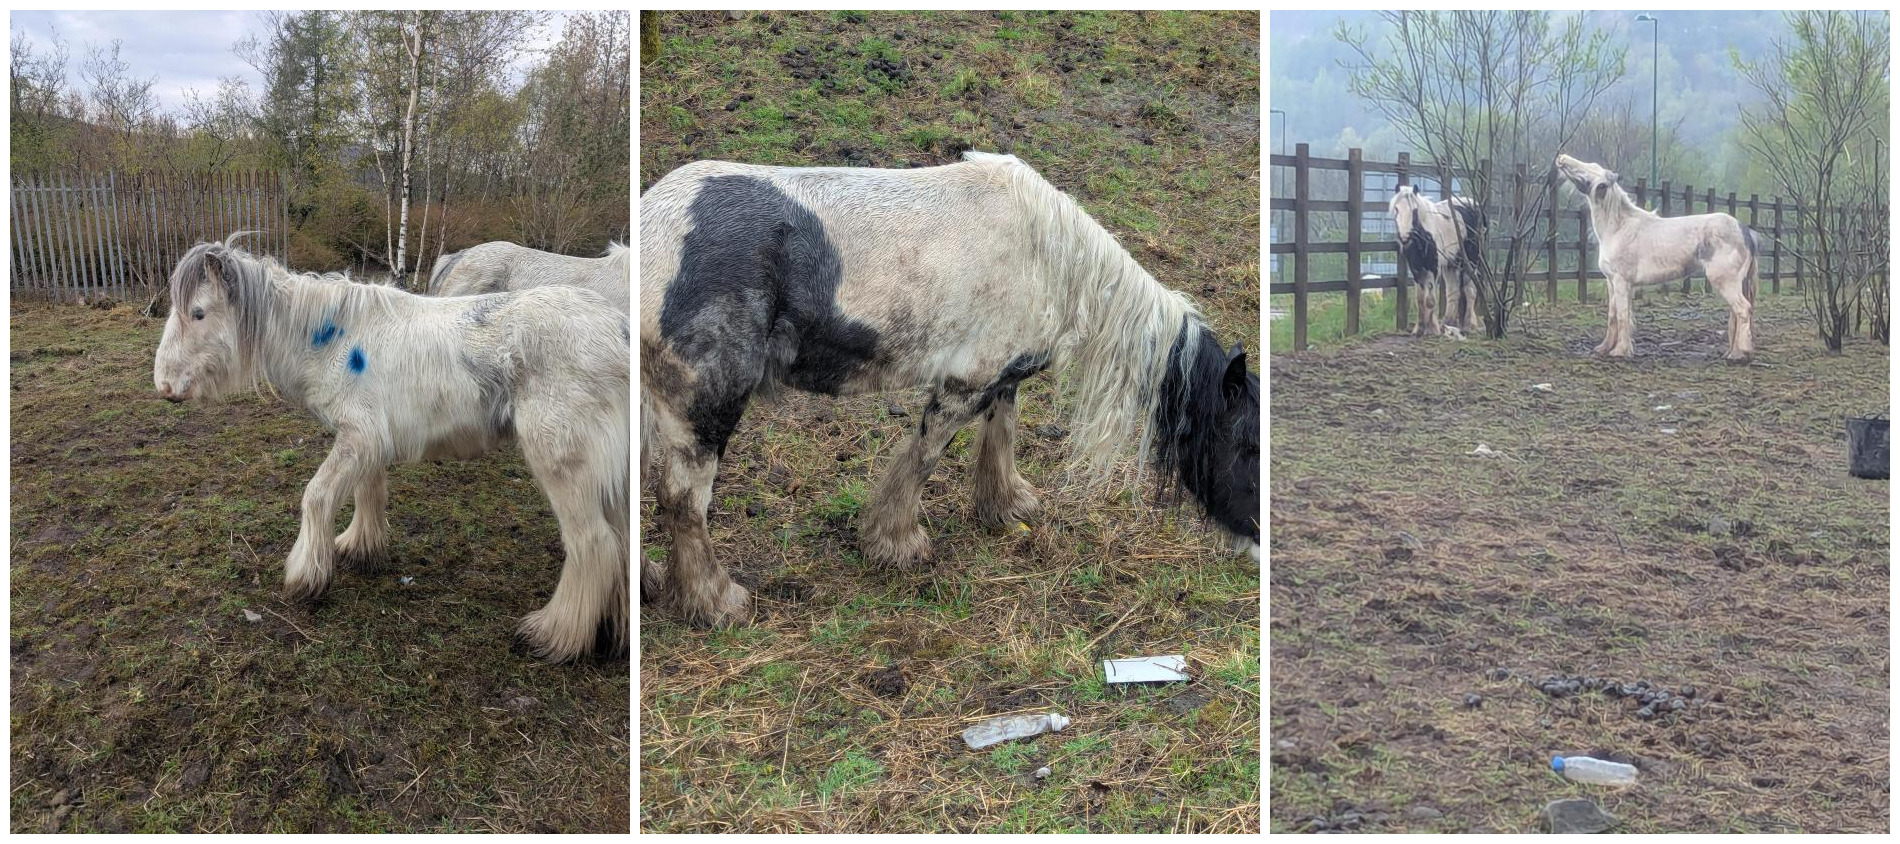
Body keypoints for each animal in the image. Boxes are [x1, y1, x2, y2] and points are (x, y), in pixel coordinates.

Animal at [640, 150, 1260, 627]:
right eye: (1247, 447)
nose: (1257, 542)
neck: (1046, 257)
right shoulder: (966, 385)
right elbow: (924, 459)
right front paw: (895, 543)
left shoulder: (1002, 380)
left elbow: (1002, 433)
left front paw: (1006, 505)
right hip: (706, 405)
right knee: (683, 500)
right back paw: (716, 602)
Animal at [1390, 185, 1486, 338]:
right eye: (1396, 209)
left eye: (1414, 211)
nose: (1404, 237)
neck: (1424, 236)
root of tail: (1474, 205)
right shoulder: (1416, 269)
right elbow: (1420, 299)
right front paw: (1419, 329)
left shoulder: (1434, 268)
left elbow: (1429, 300)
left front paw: (1432, 329)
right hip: (1451, 264)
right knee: (1453, 292)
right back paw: (1448, 323)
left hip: (1471, 261)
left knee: (1470, 290)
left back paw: (1469, 325)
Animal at [1555, 154, 1758, 361]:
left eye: (1589, 171)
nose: (1562, 158)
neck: (1618, 228)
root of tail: (1745, 231)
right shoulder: (1611, 281)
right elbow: (1613, 315)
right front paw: (1603, 348)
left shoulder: (1621, 281)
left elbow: (1622, 316)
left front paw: (1620, 351)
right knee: (1736, 313)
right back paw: (1733, 352)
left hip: (1725, 281)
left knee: (1743, 309)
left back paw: (1740, 354)